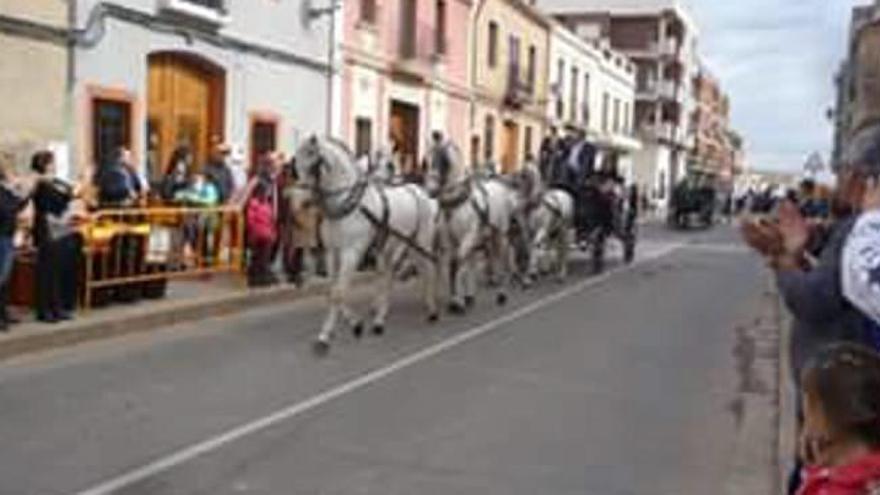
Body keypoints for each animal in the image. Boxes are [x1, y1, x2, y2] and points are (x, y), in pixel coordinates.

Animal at [294, 136, 440, 352]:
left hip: (419, 243)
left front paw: (328, 336)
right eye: (294, 163)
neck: (350, 206)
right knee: (387, 275)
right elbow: (332, 291)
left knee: (427, 269)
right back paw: (379, 320)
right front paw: (351, 324)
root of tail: (418, 190)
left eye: (314, 164)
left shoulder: (351, 252)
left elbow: (339, 292)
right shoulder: (332, 252)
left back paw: (431, 309)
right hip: (390, 247)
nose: (298, 201)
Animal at [426, 141, 524, 312]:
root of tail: (501, 184)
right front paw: (456, 299)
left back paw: (501, 294)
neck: (457, 204)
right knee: (473, 260)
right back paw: (470, 296)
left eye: (444, 161)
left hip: (499, 235)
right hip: (480, 236)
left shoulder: (467, 237)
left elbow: (457, 264)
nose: (430, 190)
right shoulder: (449, 241)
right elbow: (453, 265)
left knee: (502, 260)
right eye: (429, 159)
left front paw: (457, 302)